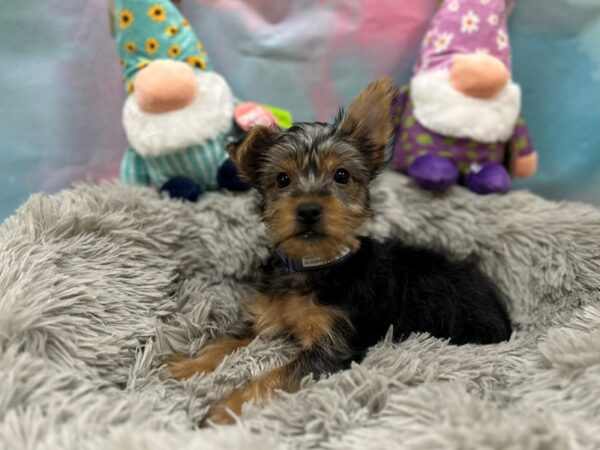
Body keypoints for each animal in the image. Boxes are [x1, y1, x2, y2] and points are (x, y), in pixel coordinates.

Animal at [169, 78, 510, 426]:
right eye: (282, 179)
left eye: (341, 175)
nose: (308, 209)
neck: (315, 262)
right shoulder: (265, 316)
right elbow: (225, 340)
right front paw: (187, 364)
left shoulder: (333, 346)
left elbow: (276, 375)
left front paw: (226, 408)